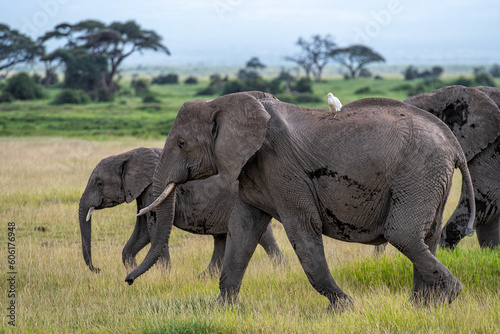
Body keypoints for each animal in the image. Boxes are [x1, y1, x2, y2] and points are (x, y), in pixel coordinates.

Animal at [77, 147, 286, 276]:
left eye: (99, 183)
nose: (98, 269)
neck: (127, 155)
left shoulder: (153, 188)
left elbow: (154, 229)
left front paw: (164, 275)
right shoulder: (143, 192)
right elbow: (143, 229)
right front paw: (133, 269)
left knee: (263, 236)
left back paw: (280, 269)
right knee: (221, 238)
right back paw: (202, 277)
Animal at [127, 92, 474, 310]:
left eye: (181, 143)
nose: (128, 281)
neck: (225, 103)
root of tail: (453, 142)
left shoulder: (282, 167)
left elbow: (303, 229)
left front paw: (344, 307)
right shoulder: (254, 169)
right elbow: (243, 229)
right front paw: (222, 308)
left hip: (419, 171)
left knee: (403, 235)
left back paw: (450, 295)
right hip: (430, 176)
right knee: (425, 236)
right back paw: (421, 306)